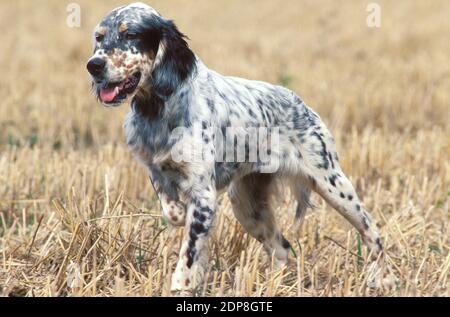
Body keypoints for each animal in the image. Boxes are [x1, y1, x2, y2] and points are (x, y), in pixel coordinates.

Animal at [86, 2, 382, 294]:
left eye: (130, 34)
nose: (94, 65)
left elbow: (189, 254)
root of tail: (301, 103)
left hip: (332, 184)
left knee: (372, 231)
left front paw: (183, 283)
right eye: (99, 37)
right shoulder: (156, 170)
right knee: (282, 248)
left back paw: (379, 278)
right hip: (247, 204)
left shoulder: (204, 196)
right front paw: (180, 217)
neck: (159, 107)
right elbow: (171, 211)